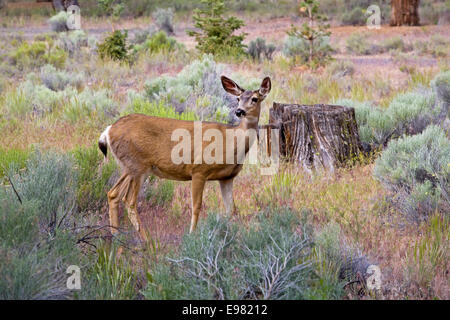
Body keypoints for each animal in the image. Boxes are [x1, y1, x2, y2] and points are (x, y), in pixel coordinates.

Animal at [97, 75, 270, 240]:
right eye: (238, 99)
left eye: (255, 98)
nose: (239, 111)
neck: (231, 141)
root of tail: (108, 130)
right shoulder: (199, 170)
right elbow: (196, 206)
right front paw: (192, 235)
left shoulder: (227, 177)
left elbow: (231, 209)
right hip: (137, 165)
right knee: (129, 201)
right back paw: (146, 241)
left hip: (130, 166)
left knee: (113, 194)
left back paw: (116, 237)